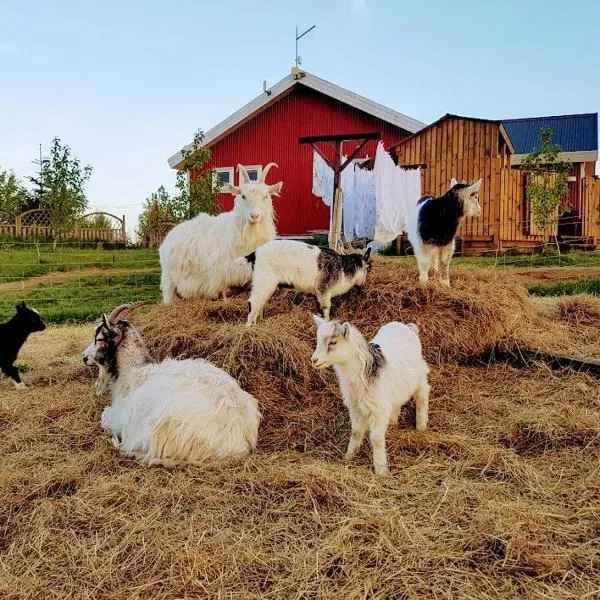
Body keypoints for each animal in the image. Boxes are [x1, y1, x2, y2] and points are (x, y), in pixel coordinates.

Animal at [83, 304, 262, 468]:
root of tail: (240, 441)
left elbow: (104, 417)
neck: (131, 372)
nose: (84, 357)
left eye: (99, 339)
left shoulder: (117, 417)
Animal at [158, 163, 282, 300]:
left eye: (265, 196)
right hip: (169, 282)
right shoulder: (221, 272)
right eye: (243, 196)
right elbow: (223, 290)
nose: (254, 216)